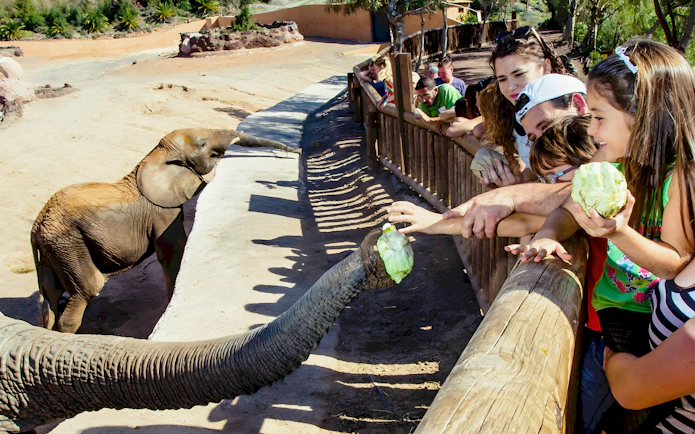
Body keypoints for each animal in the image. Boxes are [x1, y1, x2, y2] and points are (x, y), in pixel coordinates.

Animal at [31, 128, 301, 333]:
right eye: (203, 144)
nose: (297, 151)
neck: (154, 156)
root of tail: (35, 227)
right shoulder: (162, 211)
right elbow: (174, 252)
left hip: (53, 251)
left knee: (51, 296)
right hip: (68, 244)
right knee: (87, 289)